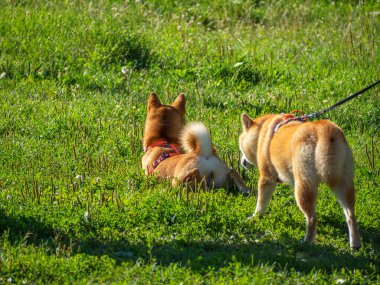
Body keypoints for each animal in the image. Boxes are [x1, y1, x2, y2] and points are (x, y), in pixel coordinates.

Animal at [239, 112, 360, 247]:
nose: (242, 162)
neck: (261, 134)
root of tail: (324, 129)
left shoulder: (267, 177)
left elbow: (261, 203)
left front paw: (255, 217)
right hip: (343, 184)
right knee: (351, 215)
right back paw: (355, 244)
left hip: (303, 185)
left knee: (312, 218)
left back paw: (306, 242)